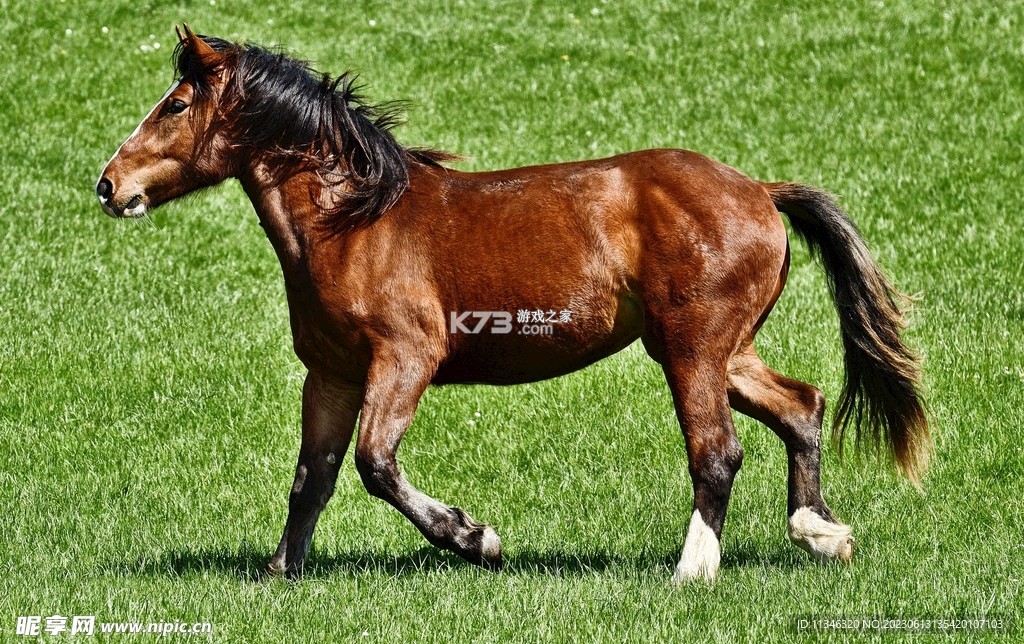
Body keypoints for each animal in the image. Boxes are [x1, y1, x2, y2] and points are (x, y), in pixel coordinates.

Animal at [96, 26, 930, 583]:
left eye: (175, 105)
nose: (109, 185)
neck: (354, 222)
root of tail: (759, 189)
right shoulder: (330, 374)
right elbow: (315, 476)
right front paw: (279, 571)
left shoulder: (406, 359)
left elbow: (375, 464)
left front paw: (477, 538)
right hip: (721, 349)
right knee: (802, 406)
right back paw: (822, 534)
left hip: (693, 348)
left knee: (718, 451)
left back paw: (692, 571)